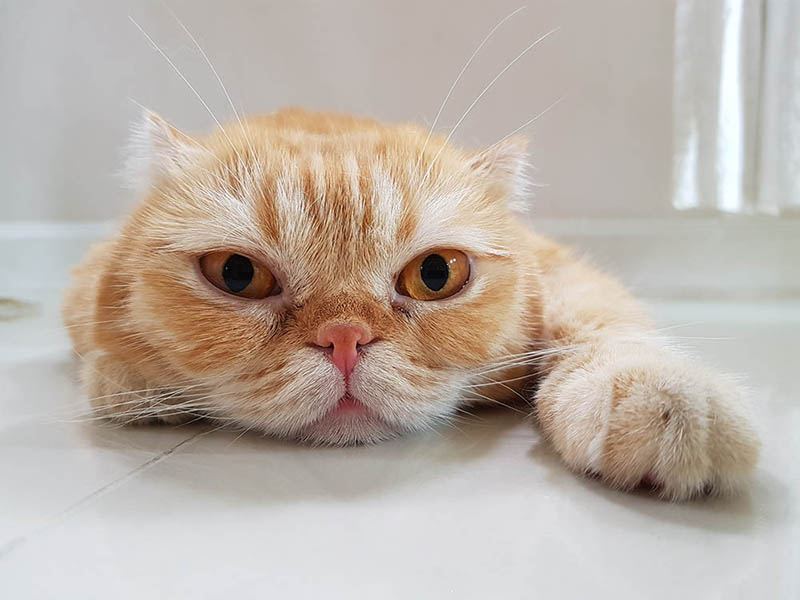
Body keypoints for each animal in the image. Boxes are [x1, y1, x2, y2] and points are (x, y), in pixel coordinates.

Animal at [61, 106, 756, 496]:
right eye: (236, 274)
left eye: (436, 274)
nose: (345, 339)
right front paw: (131, 381)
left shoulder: (559, 267)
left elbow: (600, 316)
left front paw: (662, 394)